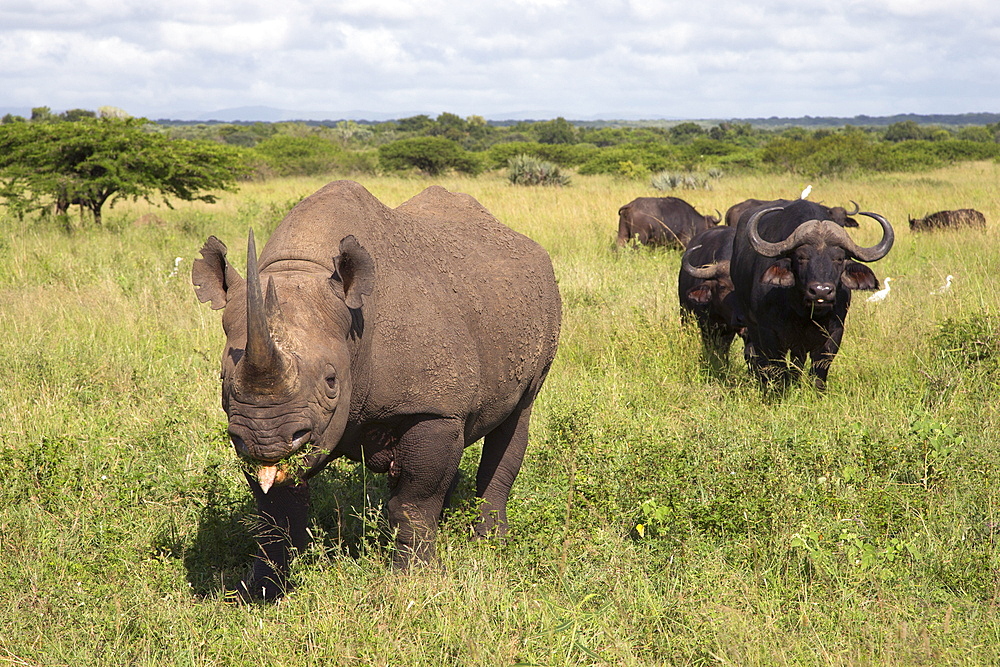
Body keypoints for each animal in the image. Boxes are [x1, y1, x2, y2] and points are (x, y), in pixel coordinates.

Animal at [189, 179, 564, 600]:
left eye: (331, 381)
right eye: (223, 380)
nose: (266, 440)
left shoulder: (430, 408)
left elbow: (413, 502)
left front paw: (412, 582)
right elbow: (275, 512)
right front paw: (261, 590)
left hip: (544, 307)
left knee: (517, 418)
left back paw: (490, 544)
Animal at [680, 226, 744, 376]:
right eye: (722, 286)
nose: (741, 318)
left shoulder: (729, 330)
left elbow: (723, 349)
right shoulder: (706, 326)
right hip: (684, 312)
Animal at [732, 201, 896, 394]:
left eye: (839, 258)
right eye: (802, 257)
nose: (821, 291)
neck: (803, 313)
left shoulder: (834, 333)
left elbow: (819, 370)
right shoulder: (768, 332)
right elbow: (777, 368)